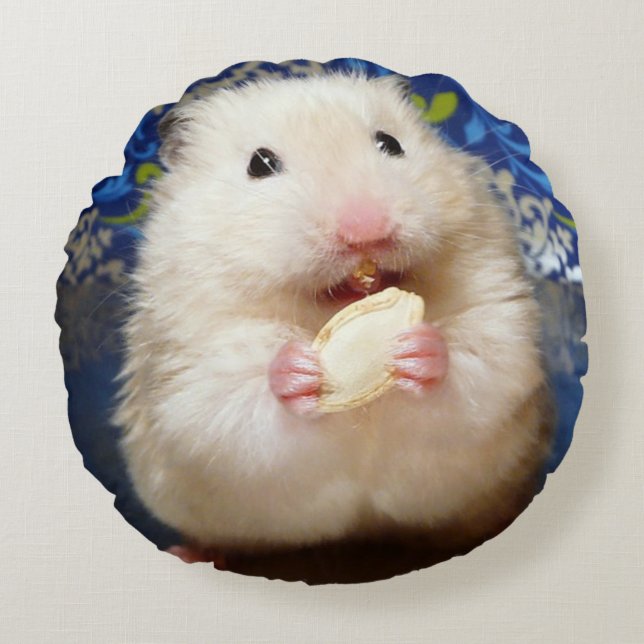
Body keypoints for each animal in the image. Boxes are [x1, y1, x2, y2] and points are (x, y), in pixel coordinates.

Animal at [114, 72, 554, 581]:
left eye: (390, 143)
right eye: (260, 165)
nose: (367, 230)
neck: (324, 311)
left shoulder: (500, 315)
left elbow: (481, 361)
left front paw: (418, 349)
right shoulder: (186, 369)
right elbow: (232, 399)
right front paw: (299, 371)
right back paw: (193, 552)